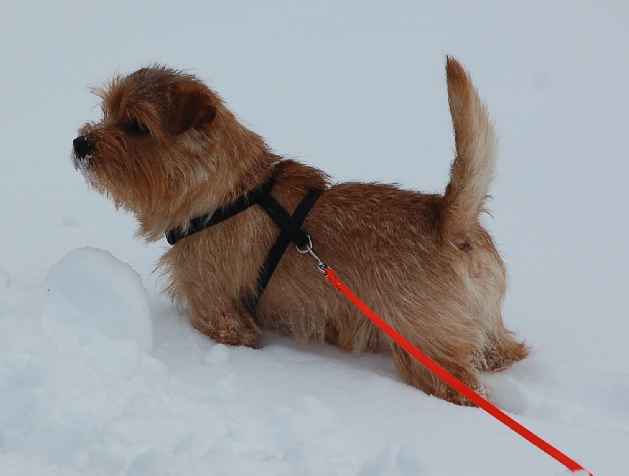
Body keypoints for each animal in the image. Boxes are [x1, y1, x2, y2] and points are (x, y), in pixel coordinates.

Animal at [72, 56, 524, 406]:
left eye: (136, 126)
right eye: (107, 110)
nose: (80, 143)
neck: (226, 192)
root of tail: (448, 217)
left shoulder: (220, 313)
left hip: (426, 348)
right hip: (486, 331)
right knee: (507, 351)